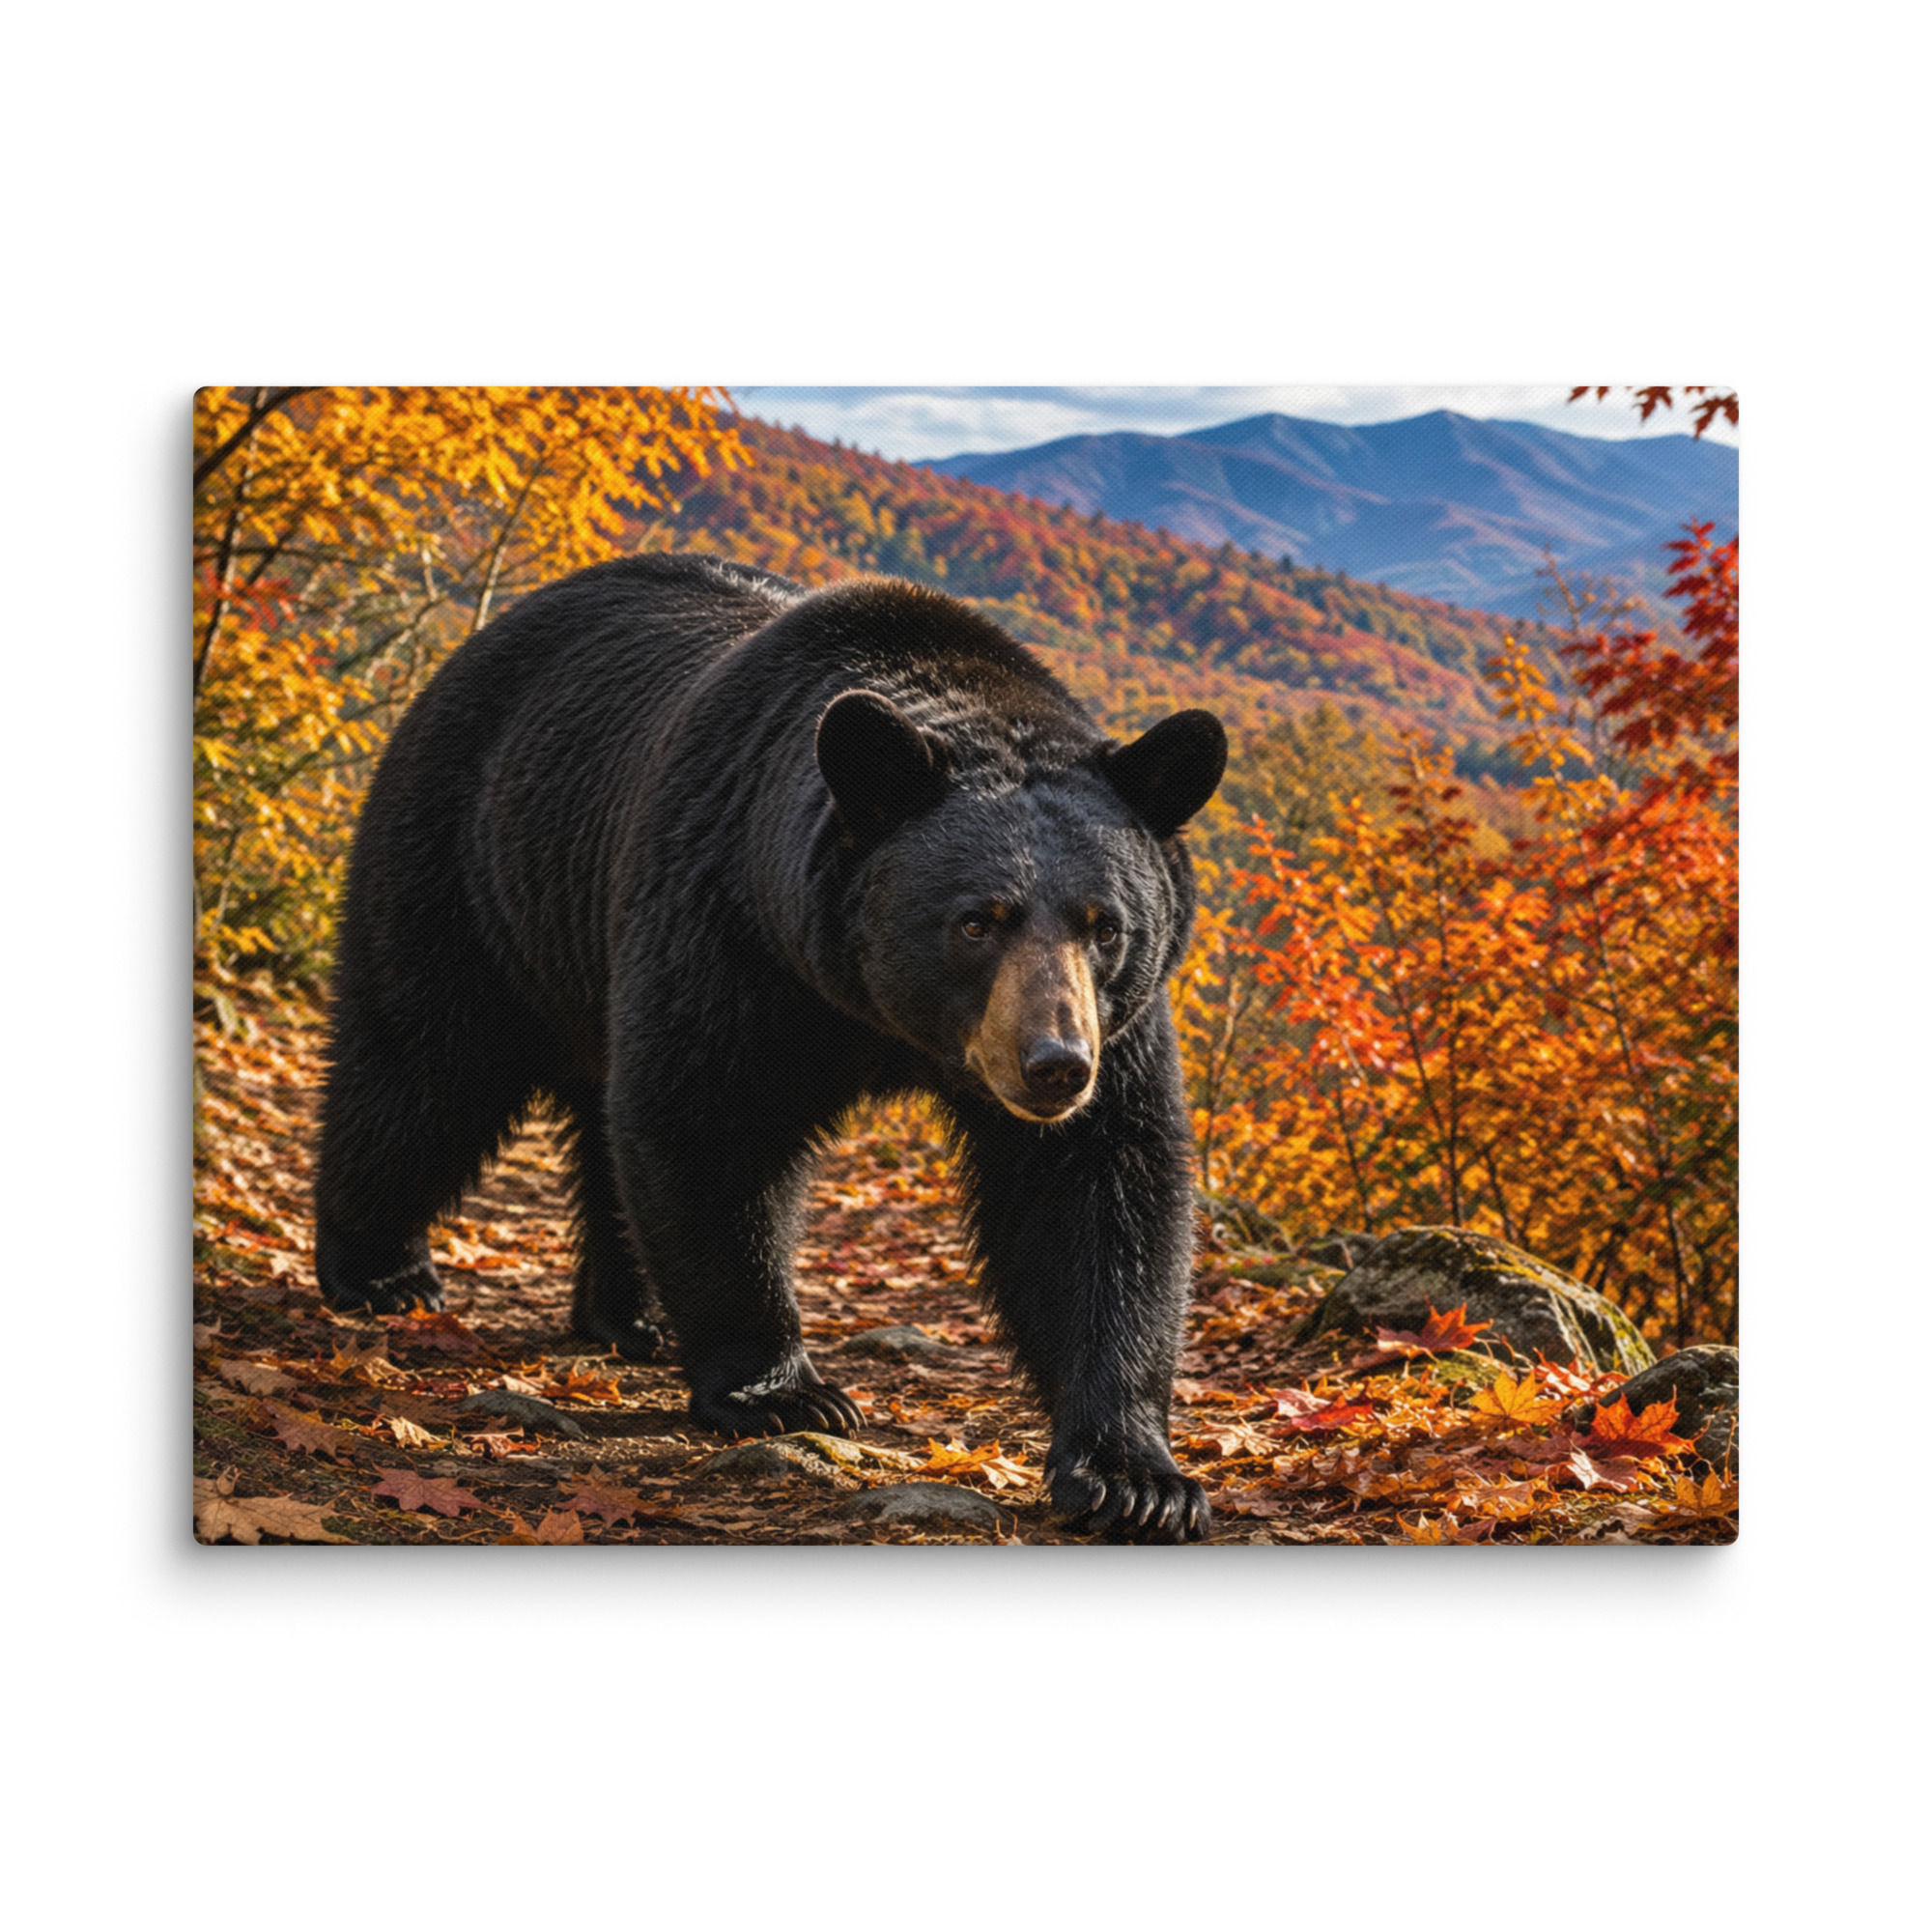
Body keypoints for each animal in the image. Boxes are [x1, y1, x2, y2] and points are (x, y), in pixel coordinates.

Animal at [315, 553, 1227, 1541]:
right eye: (977, 921)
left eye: (1106, 926)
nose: (1054, 1065)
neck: (872, 1010)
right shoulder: (732, 927)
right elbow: (712, 1122)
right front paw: (784, 1391)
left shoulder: (1121, 1026)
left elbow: (1099, 1189)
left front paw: (1135, 1476)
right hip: (470, 861)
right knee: (423, 1063)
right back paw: (380, 1270)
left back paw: (624, 1315)